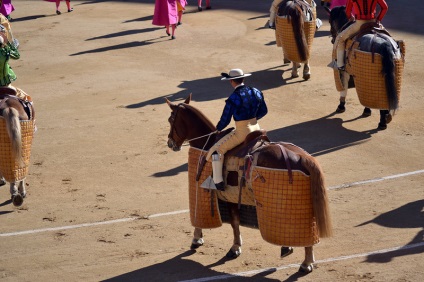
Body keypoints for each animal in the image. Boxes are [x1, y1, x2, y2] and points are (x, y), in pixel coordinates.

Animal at [164, 94, 332, 274]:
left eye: (170, 119)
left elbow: (230, 222)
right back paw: (294, 252)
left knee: (307, 238)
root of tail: (303, 157)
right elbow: (235, 221)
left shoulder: (219, 195)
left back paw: (306, 263)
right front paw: (236, 246)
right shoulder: (231, 196)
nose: (170, 143)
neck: (206, 143)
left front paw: (200, 239)